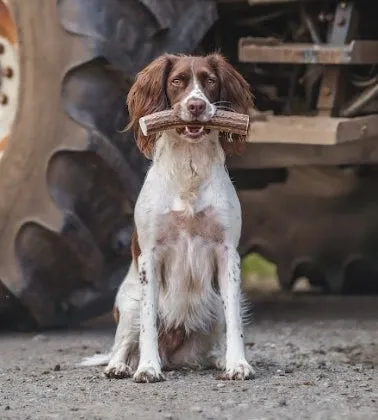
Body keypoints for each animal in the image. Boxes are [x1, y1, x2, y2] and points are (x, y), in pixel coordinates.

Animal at [81, 51, 255, 380]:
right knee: (124, 343)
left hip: (212, 304)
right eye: (177, 81)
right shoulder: (150, 255)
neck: (189, 169)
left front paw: (238, 364)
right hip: (130, 301)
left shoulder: (228, 254)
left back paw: (218, 359)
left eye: (209, 81)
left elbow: (235, 322)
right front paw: (148, 368)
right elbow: (148, 323)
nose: (196, 106)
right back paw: (121, 365)